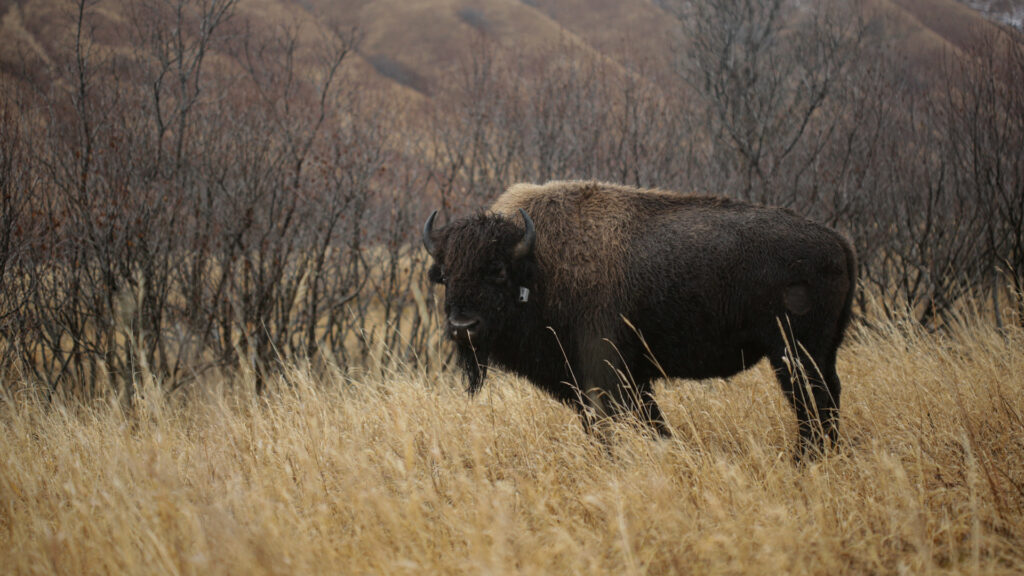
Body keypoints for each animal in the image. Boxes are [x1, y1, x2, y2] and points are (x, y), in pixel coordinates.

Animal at [423, 179, 856, 453]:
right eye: (444, 274)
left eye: (496, 270)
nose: (462, 327)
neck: (538, 263)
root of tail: (840, 242)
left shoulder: (607, 376)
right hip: (814, 354)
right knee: (825, 399)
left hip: (794, 354)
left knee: (813, 403)